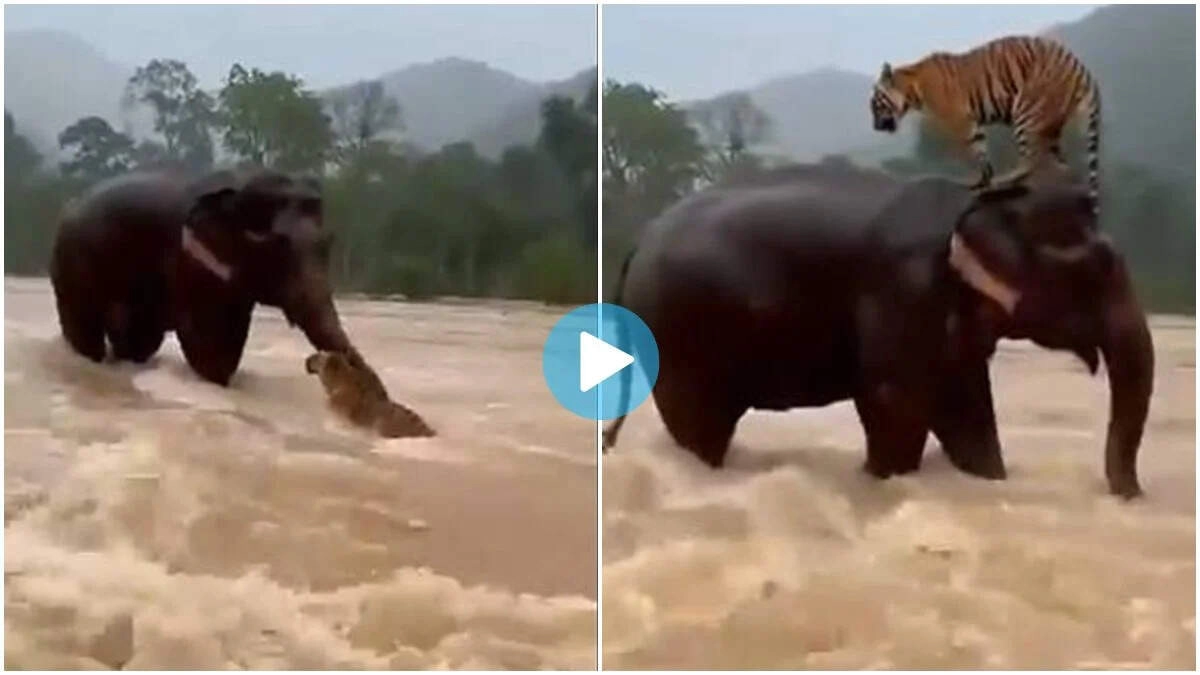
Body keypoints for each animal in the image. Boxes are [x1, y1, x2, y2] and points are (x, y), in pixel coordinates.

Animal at [870, 35, 1101, 214]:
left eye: (875, 105)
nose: (874, 127)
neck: (912, 90)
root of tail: (1079, 65)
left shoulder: (959, 122)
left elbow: (970, 152)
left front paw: (977, 181)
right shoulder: (971, 124)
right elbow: (980, 150)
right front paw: (983, 181)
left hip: (1027, 111)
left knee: (1032, 160)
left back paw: (1006, 179)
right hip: (1050, 126)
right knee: (1061, 166)